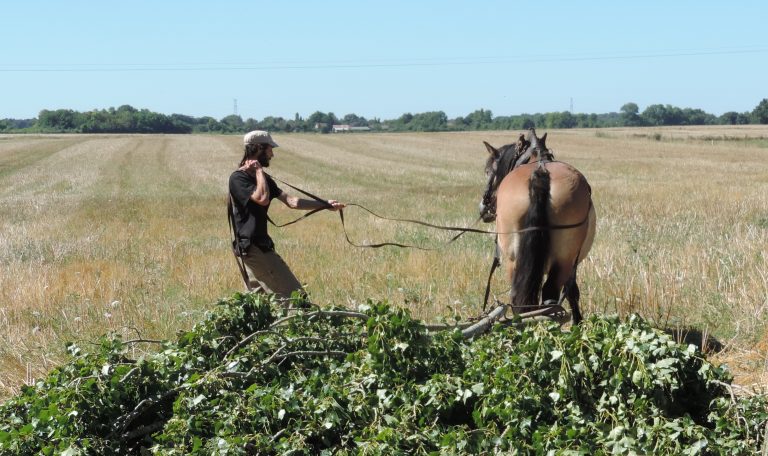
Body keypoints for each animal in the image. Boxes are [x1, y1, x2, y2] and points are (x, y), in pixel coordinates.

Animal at [476, 128, 596, 324]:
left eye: (487, 171)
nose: (483, 207)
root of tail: (540, 173)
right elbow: (572, 292)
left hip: (516, 259)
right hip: (563, 258)